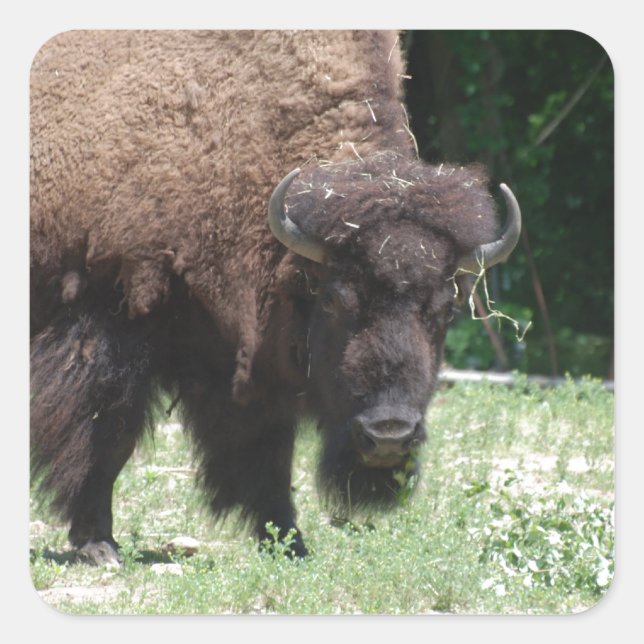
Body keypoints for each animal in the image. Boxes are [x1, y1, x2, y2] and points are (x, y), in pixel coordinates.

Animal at [30, 30, 521, 564]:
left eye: (445, 309)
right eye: (337, 300)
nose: (389, 434)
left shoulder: (243, 361)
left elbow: (268, 453)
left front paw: (289, 541)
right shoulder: (109, 322)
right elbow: (106, 435)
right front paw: (98, 543)